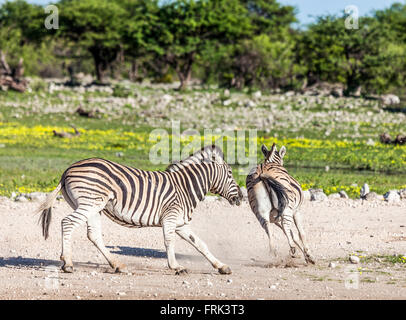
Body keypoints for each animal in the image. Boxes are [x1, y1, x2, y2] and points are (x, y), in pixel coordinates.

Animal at [36, 145, 243, 276]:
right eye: (230, 174)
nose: (241, 197)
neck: (185, 187)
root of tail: (66, 171)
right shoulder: (170, 217)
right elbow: (169, 242)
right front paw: (176, 267)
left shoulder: (180, 223)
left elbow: (200, 244)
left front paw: (221, 267)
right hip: (90, 203)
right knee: (67, 222)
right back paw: (68, 263)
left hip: (94, 208)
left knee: (93, 235)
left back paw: (117, 265)